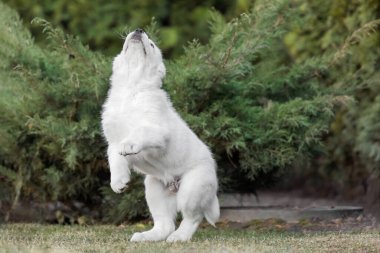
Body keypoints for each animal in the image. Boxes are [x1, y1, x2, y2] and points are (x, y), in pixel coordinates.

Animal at [101, 28, 220, 242]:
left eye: (152, 44)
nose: (139, 30)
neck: (131, 90)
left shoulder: (158, 130)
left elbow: (139, 132)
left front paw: (129, 145)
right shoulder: (112, 140)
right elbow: (115, 159)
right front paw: (118, 182)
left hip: (192, 188)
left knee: (193, 217)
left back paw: (180, 237)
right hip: (154, 189)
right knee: (165, 224)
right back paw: (146, 236)